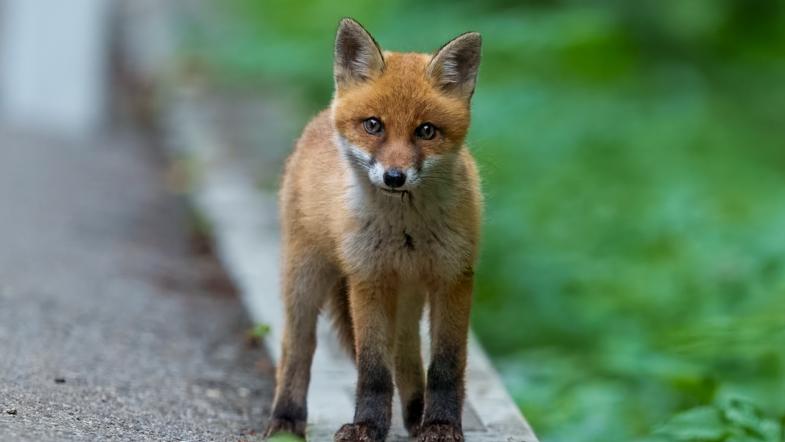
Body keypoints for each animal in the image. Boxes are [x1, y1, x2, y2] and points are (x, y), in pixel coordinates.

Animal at [265, 18, 483, 442]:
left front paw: (440, 425)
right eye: (373, 125)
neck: (407, 231)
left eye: (426, 131)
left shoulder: (453, 278)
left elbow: (445, 367)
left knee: (407, 351)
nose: (394, 177)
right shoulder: (368, 280)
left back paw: (415, 413)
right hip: (305, 278)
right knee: (297, 347)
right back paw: (286, 419)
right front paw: (367, 426)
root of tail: (321, 115)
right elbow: (373, 370)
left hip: (410, 293)